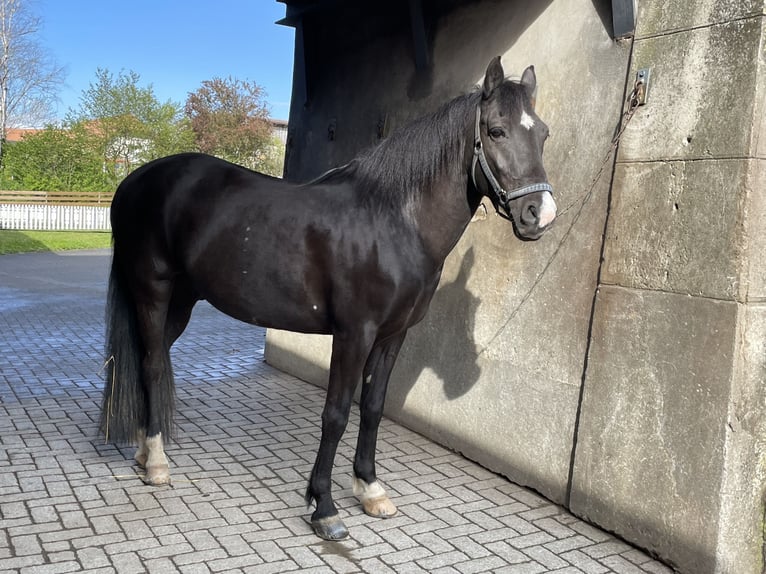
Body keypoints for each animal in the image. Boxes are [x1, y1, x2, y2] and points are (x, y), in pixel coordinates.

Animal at [100, 59, 560, 544]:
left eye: (544, 134)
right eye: (495, 131)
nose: (541, 215)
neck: (393, 221)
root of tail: (133, 181)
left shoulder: (392, 337)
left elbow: (373, 408)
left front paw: (371, 490)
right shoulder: (353, 334)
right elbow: (336, 414)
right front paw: (324, 507)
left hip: (183, 301)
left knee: (149, 359)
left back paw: (143, 452)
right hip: (153, 291)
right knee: (152, 365)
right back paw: (156, 463)